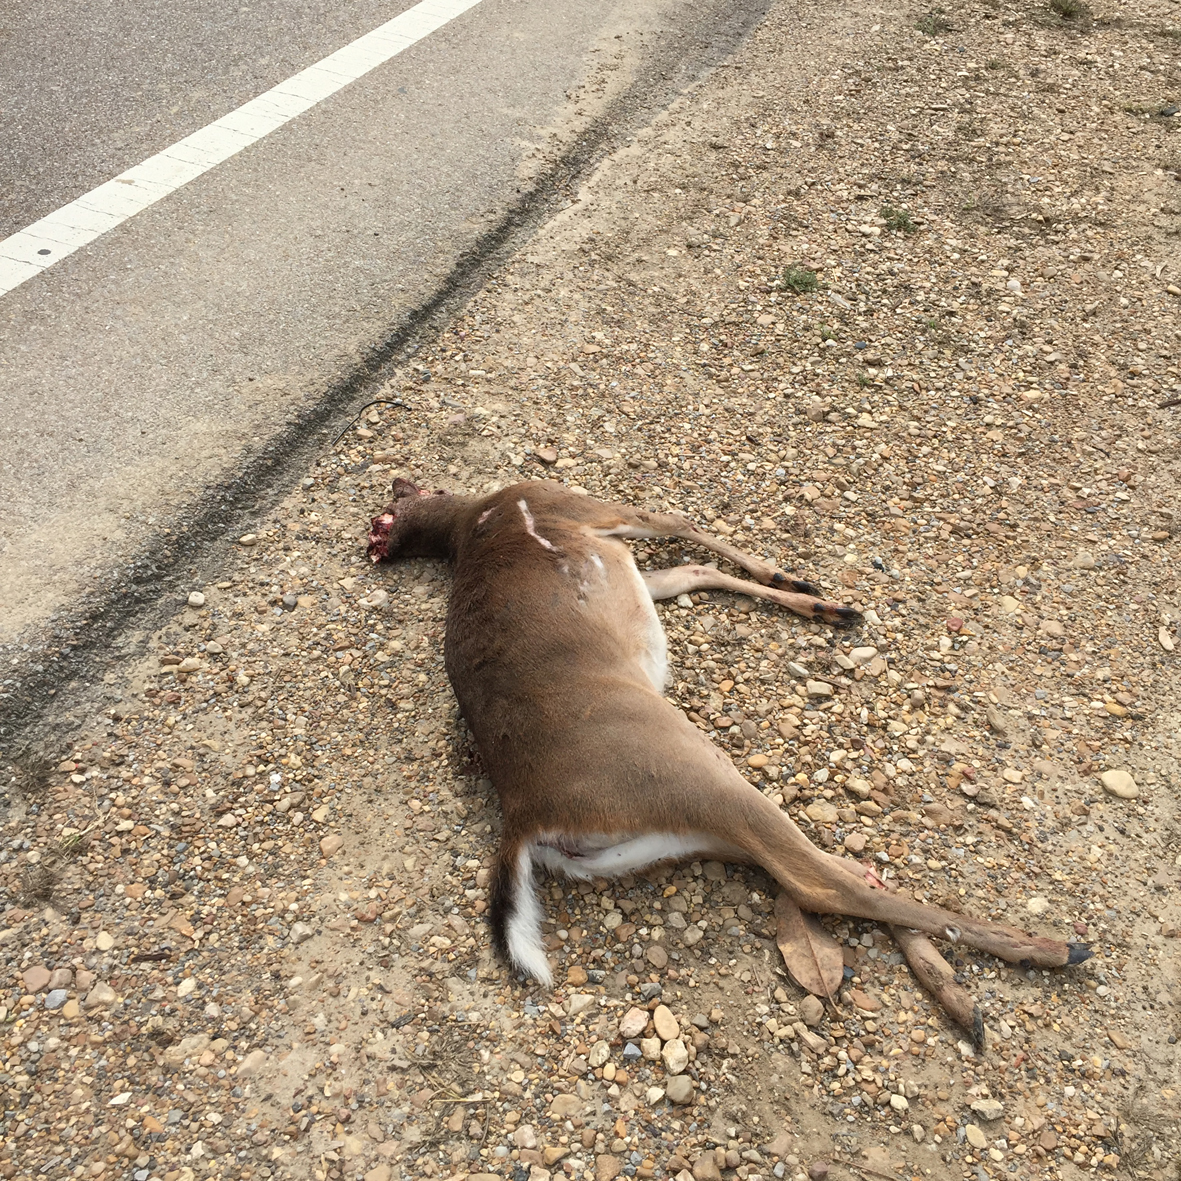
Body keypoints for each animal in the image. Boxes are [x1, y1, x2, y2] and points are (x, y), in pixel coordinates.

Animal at [368, 477, 1089, 1030]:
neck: (472, 517)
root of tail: (521, 816)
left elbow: (692, 569)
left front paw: (819, 599)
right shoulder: (576, 505)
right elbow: (678, 519)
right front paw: (813, 590)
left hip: (665, 831)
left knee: (799, 868)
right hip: (684, 768)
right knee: (815, 880)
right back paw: (1051, 947)